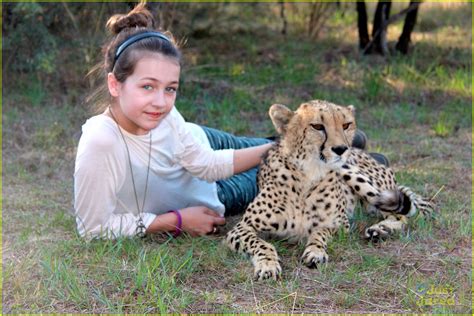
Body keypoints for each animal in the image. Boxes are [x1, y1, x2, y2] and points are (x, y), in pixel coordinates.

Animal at [225, 100, 434, 280]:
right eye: (317, 126)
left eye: (346, 125)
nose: (341, 149)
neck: (308, 175)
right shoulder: (242, 228)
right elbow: (261, 244)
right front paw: (267, 265)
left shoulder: (340, 225)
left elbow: (320, 232)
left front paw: (315, 251)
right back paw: (380, 229)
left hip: (360, 179)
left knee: (403, 216)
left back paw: (380, 229)